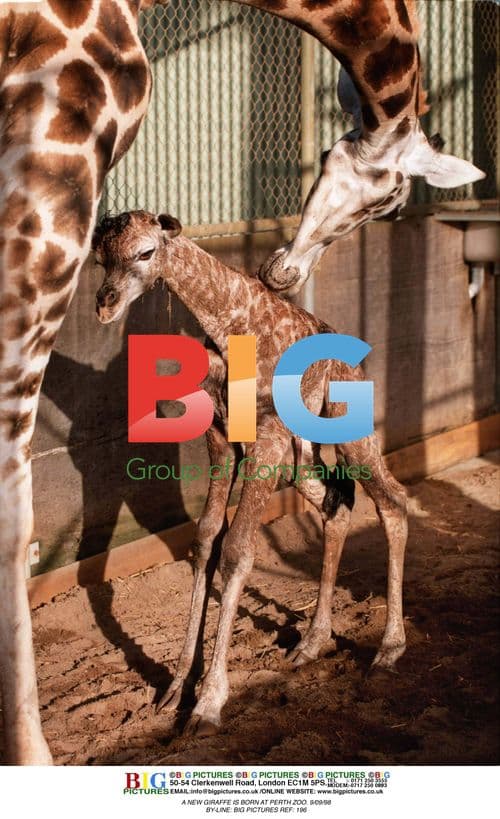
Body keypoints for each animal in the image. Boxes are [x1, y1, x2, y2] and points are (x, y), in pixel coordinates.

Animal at [93, 209, 408, 736]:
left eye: (145, 252)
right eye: (100, 258)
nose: (104, 305)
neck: (230, 325)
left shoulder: (267, 439)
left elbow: (239, 549)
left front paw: (208, 703)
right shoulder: (221, 438)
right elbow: (205, 540)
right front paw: (176, 687)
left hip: (348, 431)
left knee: (393, 502)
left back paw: (389, 649)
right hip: (302, 461)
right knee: (339, 502)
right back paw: (311, 643)